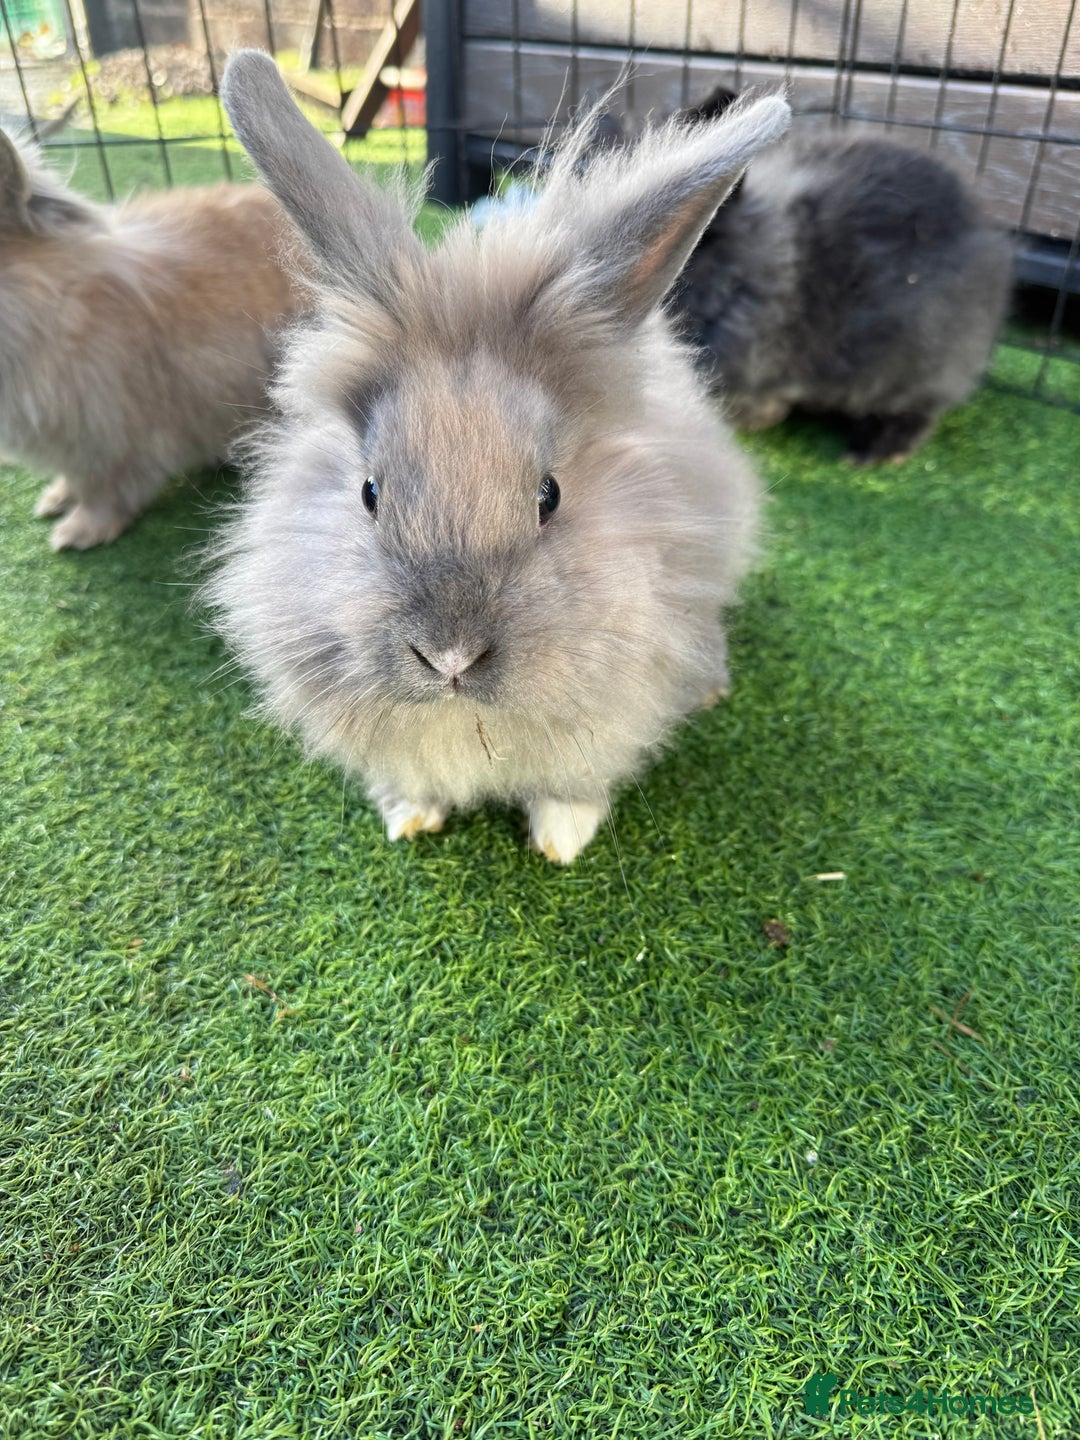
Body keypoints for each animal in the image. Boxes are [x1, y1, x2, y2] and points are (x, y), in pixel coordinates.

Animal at [204, 51, 790, 864]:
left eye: (549, 495)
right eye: (369, 493)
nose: (449, 658)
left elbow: (572, 787)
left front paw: (562, 843)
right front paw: (409, 817)